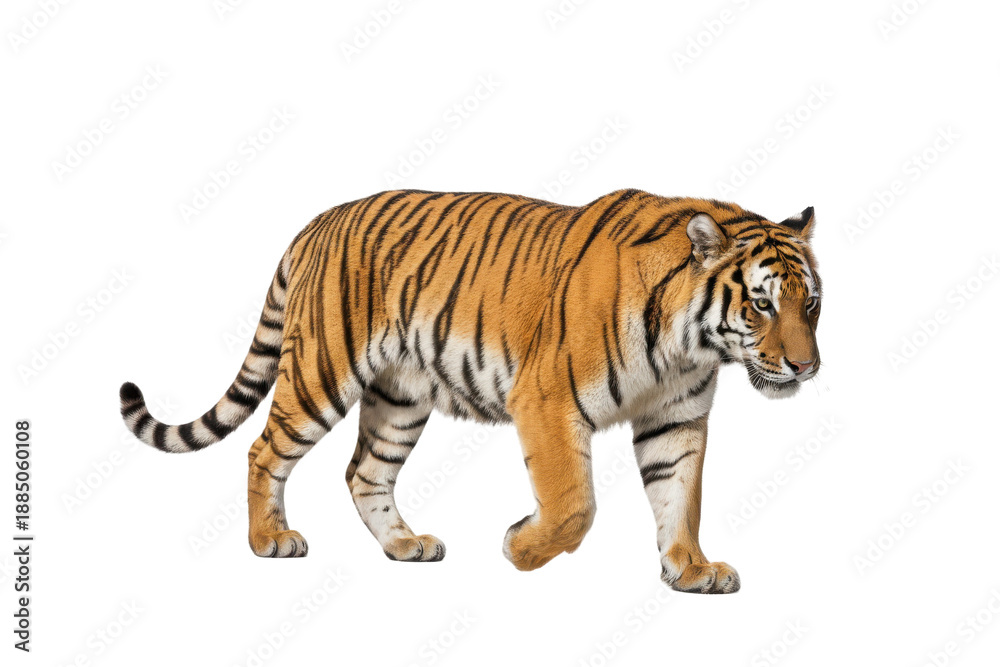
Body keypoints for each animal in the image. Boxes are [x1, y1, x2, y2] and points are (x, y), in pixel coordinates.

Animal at [119, 188, 821, 594]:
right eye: (761, 304)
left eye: (810, 304)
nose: (806, 367)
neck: (688, 344)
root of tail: (317, 222)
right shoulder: (548, 399)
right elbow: (574, 505)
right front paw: (520, 546)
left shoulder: (675, 420)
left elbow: (681, 498)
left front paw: (691, 569)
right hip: (321, 372)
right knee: (264, 450)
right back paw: (270, 539)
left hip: (400, 398)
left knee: (364, 472)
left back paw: (405, 546)